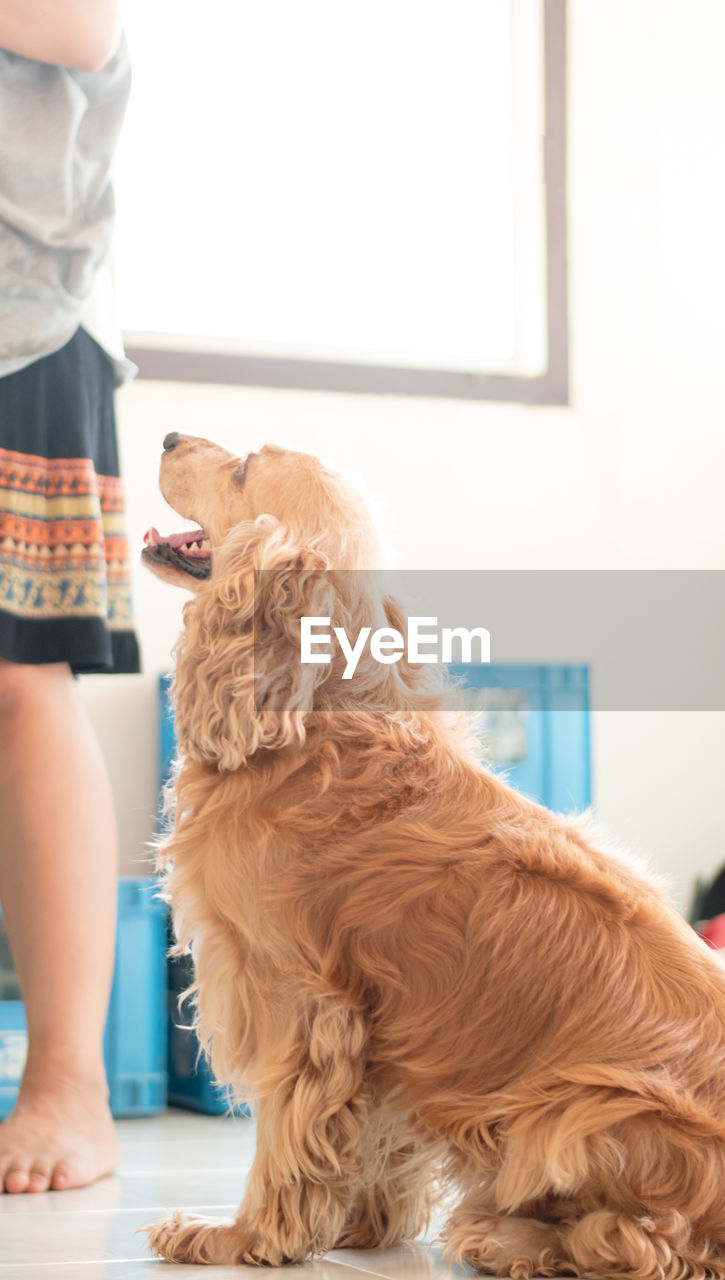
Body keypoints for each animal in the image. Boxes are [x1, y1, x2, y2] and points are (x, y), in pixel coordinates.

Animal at [144, 435, 725, 1274]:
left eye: (246, 467)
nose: (165, 438)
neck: (316, 716)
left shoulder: (298, 1001)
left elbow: (284, 1137)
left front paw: (243, 1237)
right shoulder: (381, 1034)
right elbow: (368, 1140)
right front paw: (360, 1225)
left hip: (578, 1105)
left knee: (652, 1241)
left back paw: (506, 1234)